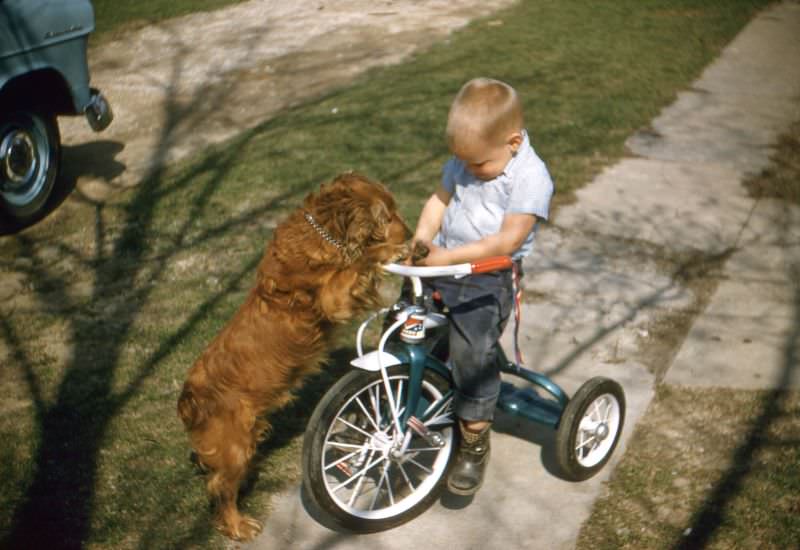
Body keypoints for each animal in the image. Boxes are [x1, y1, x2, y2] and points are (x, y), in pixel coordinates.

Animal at [177, 174, 410, 544]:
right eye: (386, 217)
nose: (414, 235)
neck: (322, 231)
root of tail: (187, 398)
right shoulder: (333, 296)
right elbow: (360, 262)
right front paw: (389, 251)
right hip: (234, 445)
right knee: (220, 487)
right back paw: (237, 525)